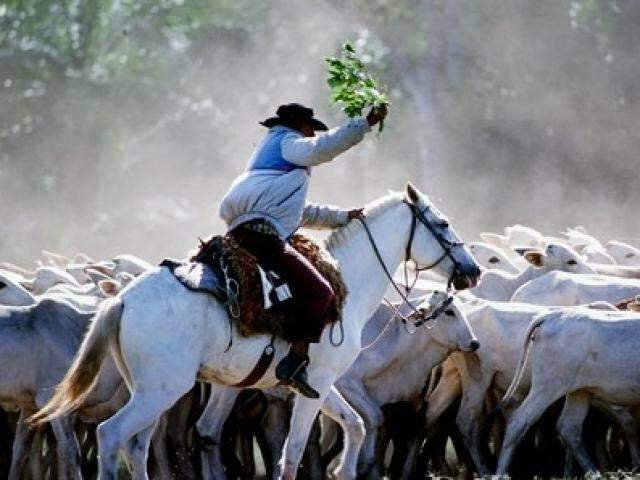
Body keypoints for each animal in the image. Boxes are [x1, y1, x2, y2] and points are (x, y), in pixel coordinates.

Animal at [31, 182, 480, 478]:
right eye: (443, 223)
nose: (472, 271)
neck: (345, 281)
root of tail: (121, 300)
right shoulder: (318, 380)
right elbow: (294, 451)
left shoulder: (317, 383)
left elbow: (353, 425)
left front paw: (343, 469)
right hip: (161, 390)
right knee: (110, 437)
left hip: (149, 391)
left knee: (136, 447)